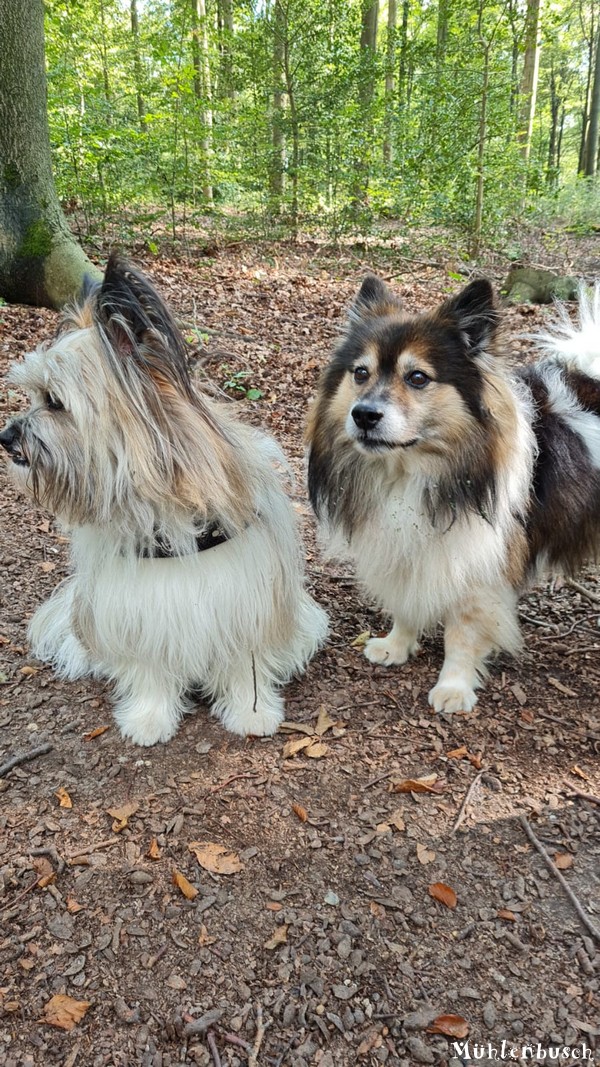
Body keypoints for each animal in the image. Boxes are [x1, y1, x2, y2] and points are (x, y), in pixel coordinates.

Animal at [1, 253, 326, 746]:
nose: (5, 437)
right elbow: (149, 667)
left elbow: (245, 664)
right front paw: (149, 718)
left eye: (54, 402)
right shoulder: (138, 606)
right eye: (34, 395)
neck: (166, 508)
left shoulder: (246, 594)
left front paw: (250, 712)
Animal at [307, 277, 597, 717]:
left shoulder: (479, 563)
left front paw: (454, 686)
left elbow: (462, 631)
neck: (410, 470)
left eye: (417, 378)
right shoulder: (409, 543)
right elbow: (406, 599)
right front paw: (396, 645)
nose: (363, 415)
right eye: (360, 372)